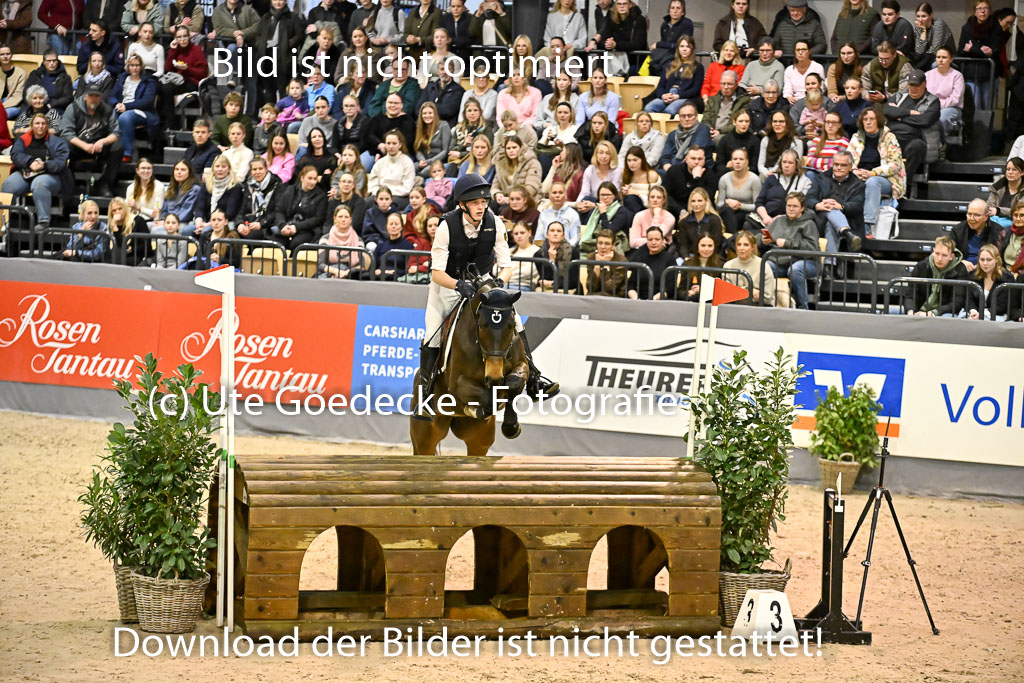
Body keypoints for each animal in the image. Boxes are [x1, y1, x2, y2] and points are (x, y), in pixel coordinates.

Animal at [410, 278, 529, 455]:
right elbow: (488, 398)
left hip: (478, 439)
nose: (494, 377)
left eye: (511, 325)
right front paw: (480, 408)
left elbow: (514, 383)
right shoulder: (458, 384)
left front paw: (511, 426)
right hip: (425, 438)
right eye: (482, 325)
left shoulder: (521, 364)